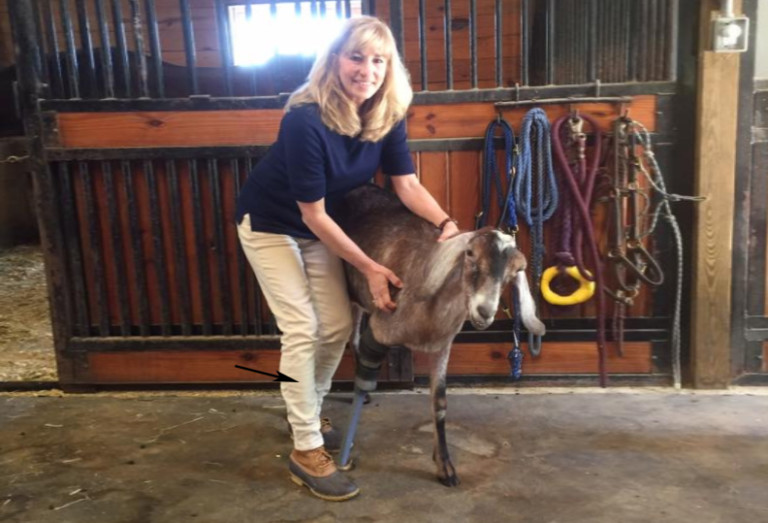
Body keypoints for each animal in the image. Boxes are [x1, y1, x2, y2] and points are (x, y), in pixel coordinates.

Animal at [338, 184, 544, 488]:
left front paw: (444, 466)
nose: (484, 311)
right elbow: (365, 372)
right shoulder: (379, 330)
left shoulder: (442, 346)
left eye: (515, 271)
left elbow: (440, 402)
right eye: (470, 254)